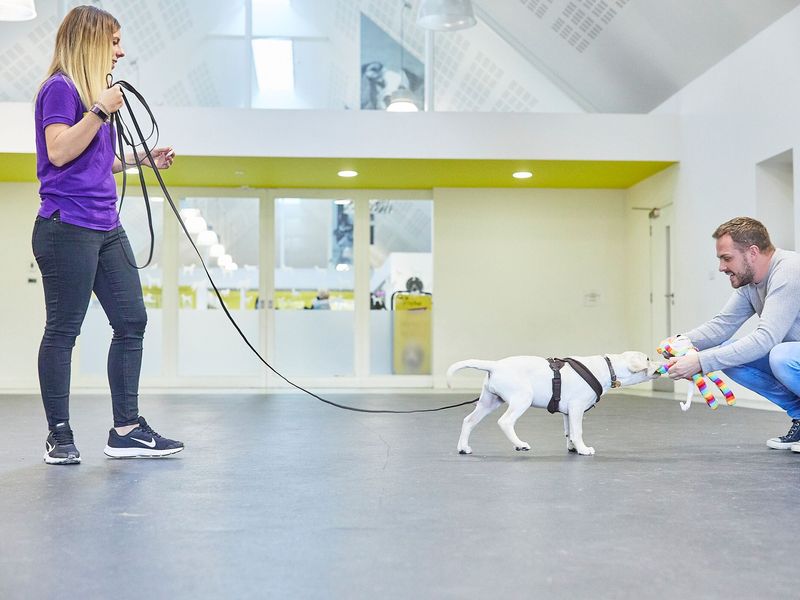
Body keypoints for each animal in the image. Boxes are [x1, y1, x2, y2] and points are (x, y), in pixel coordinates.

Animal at [446, 352, 660, 454]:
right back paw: (520, 444)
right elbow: (578, 431)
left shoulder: (567, 412)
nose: (661, 364)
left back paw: (463, 448)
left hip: (488, 402)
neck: (609, 368)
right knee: (505, 422)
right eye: (648, 358)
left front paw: (573, 447)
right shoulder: (576, 408)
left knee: (468, 421)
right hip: (522, 398)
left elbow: (569, 432)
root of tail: (495, 365)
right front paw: (583, 450)